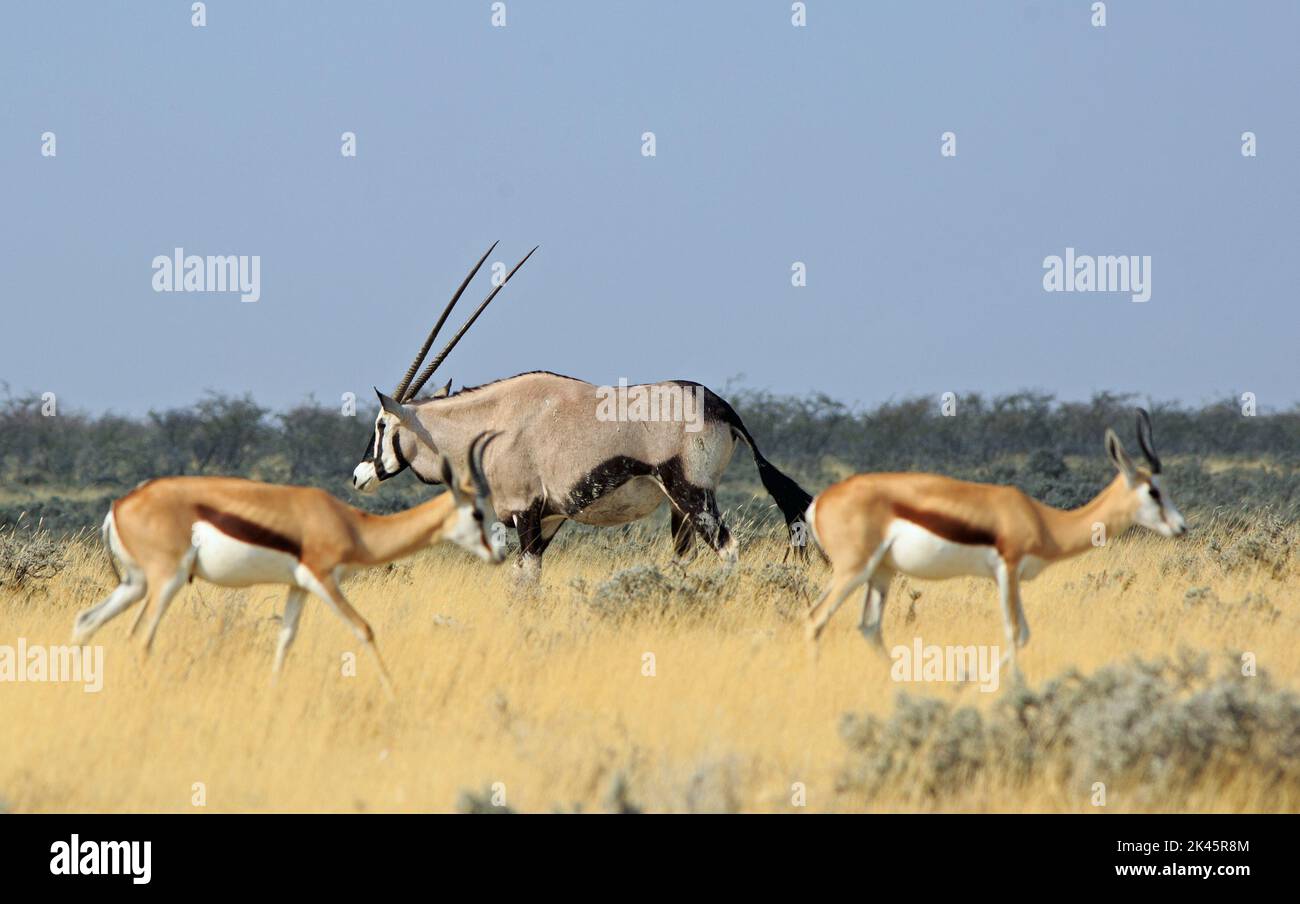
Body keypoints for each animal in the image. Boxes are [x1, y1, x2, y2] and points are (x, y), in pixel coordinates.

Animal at [69, 431, 501, 691]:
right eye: (478, 512)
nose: (499, 553)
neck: (351, 523)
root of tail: (120, 505)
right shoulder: (323, 579)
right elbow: (364, 629)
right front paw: (393, 692)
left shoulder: (298, 587)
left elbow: (285, 640)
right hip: (166, 581)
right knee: (140, 636)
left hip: (135, 583)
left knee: (86, 621)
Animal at [348, 244, 811, 577]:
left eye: (381, 423)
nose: (358, 475)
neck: (488, 424)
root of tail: (720, 406)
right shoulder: (550, 519)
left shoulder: (526, 513)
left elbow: (525, 581)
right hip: (680, 508)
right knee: (685, 558)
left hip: (693, 496)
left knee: (728, 550)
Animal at [800, 411, 1190, 671]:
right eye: (1153, 491)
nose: (1181, 527)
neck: (1043, 520)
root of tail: (819, 502)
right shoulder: (1008, 569)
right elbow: (1015, 632)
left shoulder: (1011, 577)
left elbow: (1023, 634)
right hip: (854, 570)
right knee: (816, 617)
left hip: (881, 572)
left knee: (868, 628)